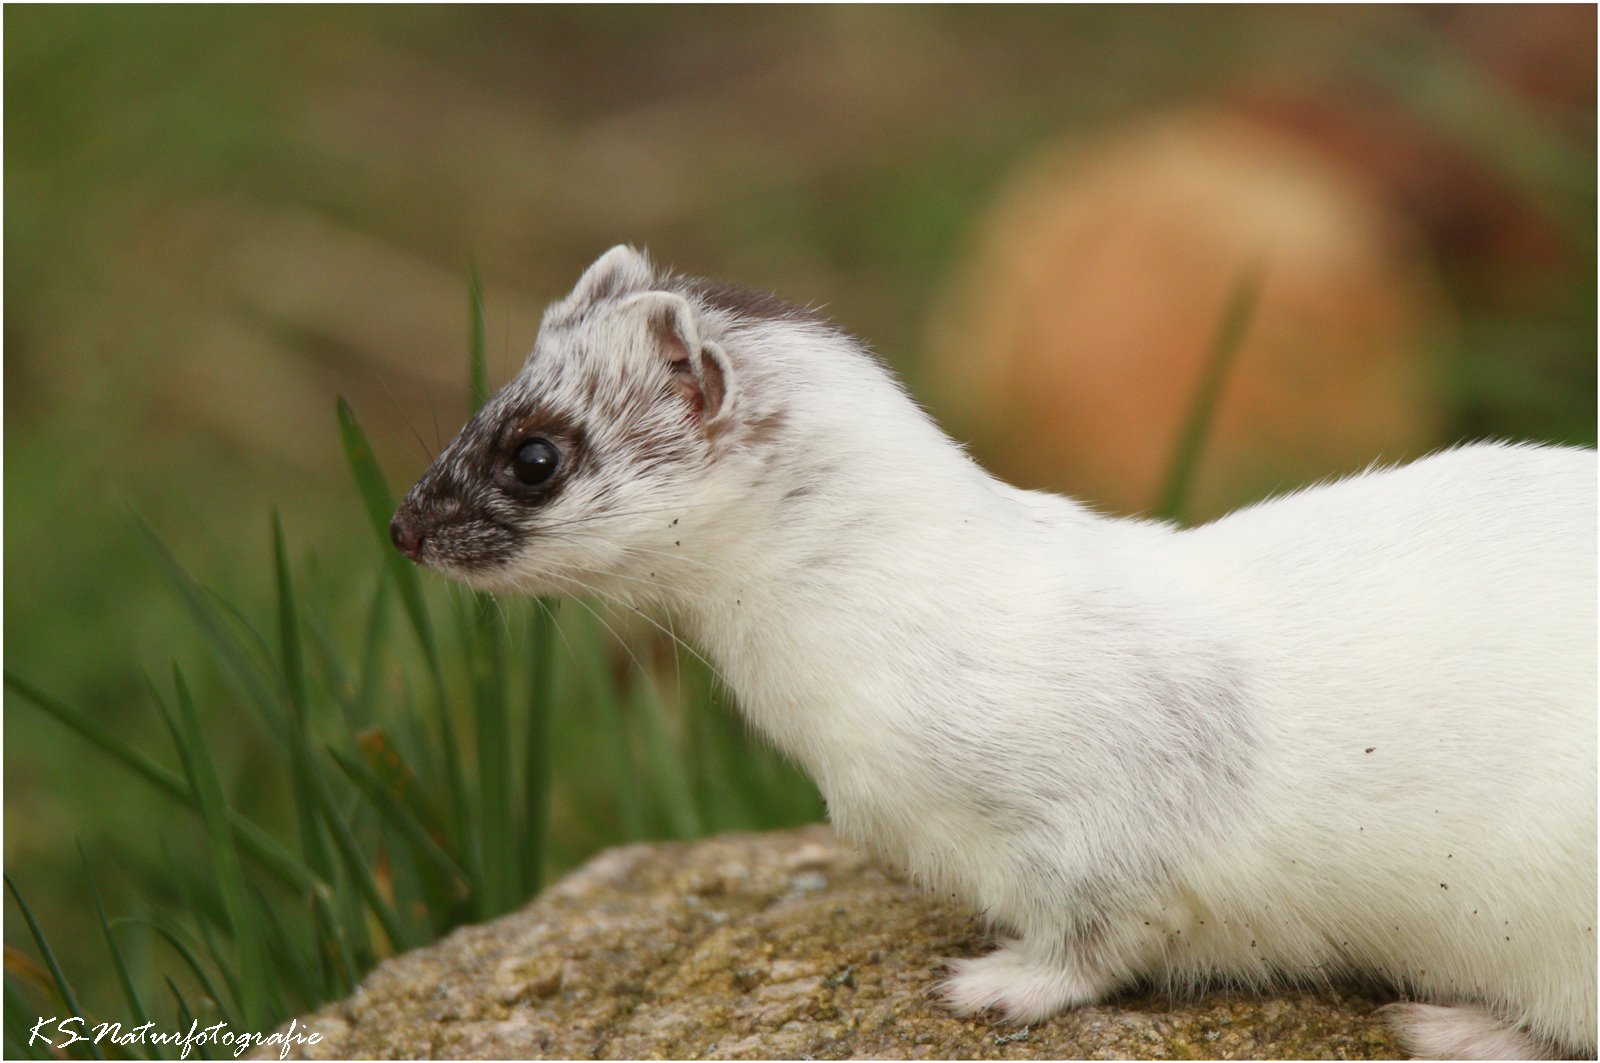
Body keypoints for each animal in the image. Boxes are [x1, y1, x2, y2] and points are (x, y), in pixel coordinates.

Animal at [390, 246, 1600, 1056]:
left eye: (533, 454)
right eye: (485, 403)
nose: (402, 525)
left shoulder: (1110, 813)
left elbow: (1099, 932)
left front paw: (998, 984)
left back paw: (1456, 1021)